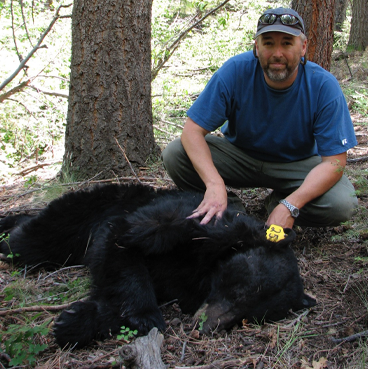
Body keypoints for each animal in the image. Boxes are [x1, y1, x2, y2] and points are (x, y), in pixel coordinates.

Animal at [0, 184, 316, 348]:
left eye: (249, 317)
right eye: (237, 291)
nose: (206, 327)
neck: (206, 270)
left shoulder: (184, 283)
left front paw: (77, 322)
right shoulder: (189, 224)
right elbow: (122, 244)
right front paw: (146, 316)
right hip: (78, 214)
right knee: (30, 241)